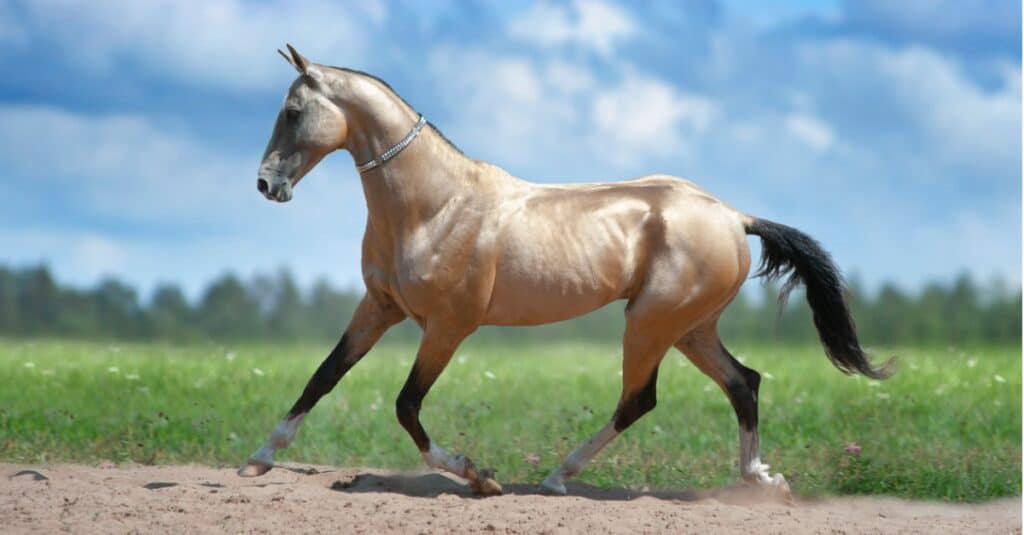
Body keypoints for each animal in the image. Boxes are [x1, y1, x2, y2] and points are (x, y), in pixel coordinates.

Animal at [237, 44, 888, 496]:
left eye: (292, 111)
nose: (267, 184)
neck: (435, 206)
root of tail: (734, 216)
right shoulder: (380, 306)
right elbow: (324, 376)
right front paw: (259, 459)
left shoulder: (447, 327)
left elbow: (406, 405)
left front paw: (478, 474)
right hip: (690, 329)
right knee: (742, 383)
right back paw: (761, 479)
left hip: (650, 324)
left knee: (640, 400)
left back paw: (557, 477)